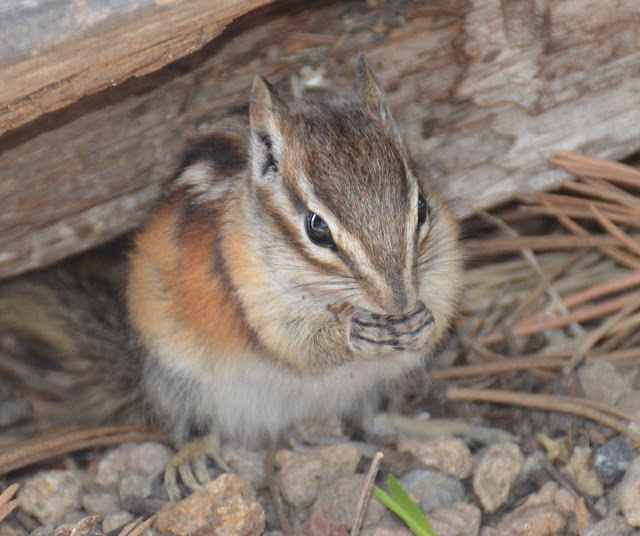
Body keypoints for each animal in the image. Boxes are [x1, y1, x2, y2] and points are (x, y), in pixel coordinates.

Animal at [0, 57, 462, 497]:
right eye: (316, 227)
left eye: (422, 208)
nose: (399, 303)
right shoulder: (251, 290)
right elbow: (295, 344)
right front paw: (352, 334)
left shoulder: (442, 263)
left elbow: (442, 301)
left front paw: (422, 322)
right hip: (178, 376)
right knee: (193, 425)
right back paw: (191, 455)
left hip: (374, 385)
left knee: (372, 418)